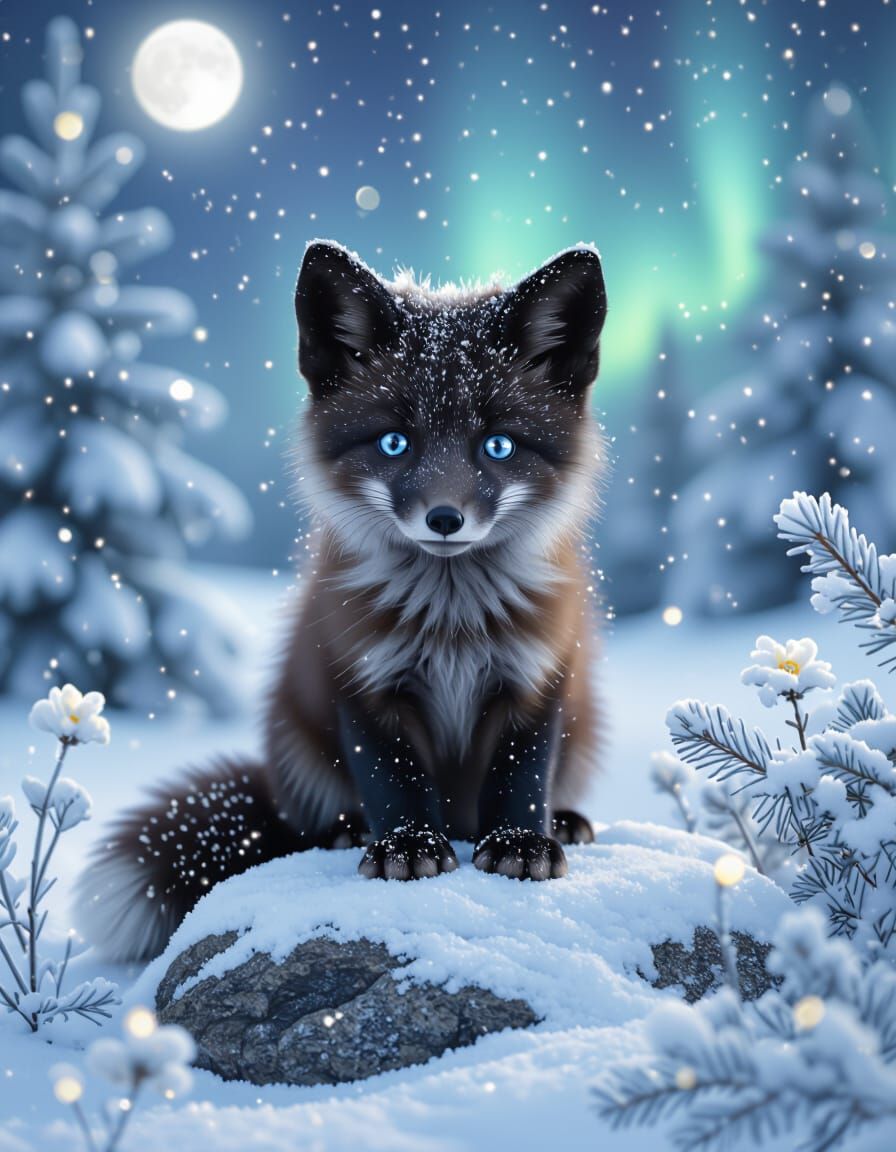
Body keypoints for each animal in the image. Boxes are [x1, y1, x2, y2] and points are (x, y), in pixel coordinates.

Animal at [74, 240, 609, 963]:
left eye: (497, 445)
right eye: (394, 442)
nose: (445, 518)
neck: (453, 629)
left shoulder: (539, 675)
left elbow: (520, 779)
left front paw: (521, 845)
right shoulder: (361, 679)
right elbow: (393, 780)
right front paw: (405, 847)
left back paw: (566, 820)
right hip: (294, 735)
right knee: (313, 819)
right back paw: (349, 830)